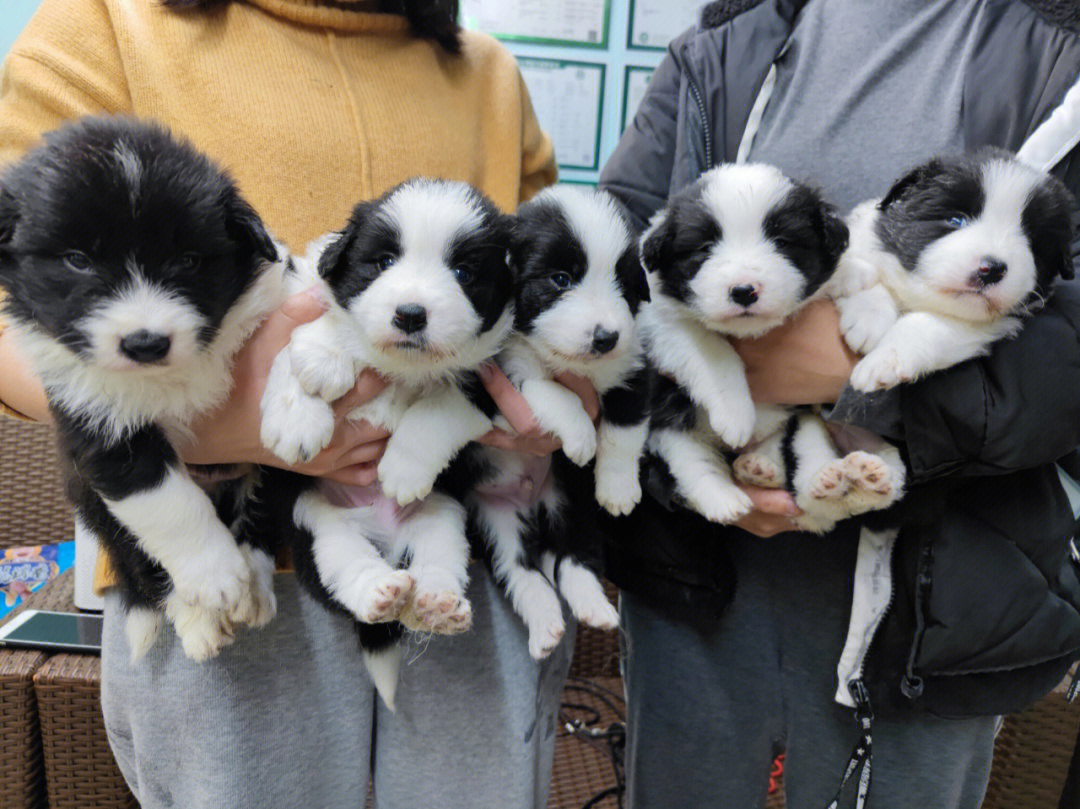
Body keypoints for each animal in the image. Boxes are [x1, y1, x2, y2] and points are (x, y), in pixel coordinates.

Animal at [0, 119, 287, 661]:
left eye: (189, 259)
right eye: (77, 259)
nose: (146, 342)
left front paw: (245, 577)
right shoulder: (99, 428)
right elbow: (168, 503)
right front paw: (215, 577)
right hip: (90, 499)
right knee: (139, 556)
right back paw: (197, 619)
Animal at [260, 178, 514, 708]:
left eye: (463, 271)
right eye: (383, 262)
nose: (411, 315)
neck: (402, 368)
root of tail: (387, 540)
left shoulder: (495, 377)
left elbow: (438, 408)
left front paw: (402, 468)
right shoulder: (302, 297)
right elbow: (315, 332)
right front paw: (312, 382)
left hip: (444, 516)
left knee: (437, 564)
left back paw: (434, 604)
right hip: (315, 525)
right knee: (347, 572)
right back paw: (381, 593)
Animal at [466, 185, 648, 661]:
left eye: (623, 281)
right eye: (561, 279)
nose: (606, 338)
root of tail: (533, 507)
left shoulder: (633, 368)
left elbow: (624, 433)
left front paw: (618, 490)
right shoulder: (498, 376)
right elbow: (551, 391)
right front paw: (582, 436)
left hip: (571, 500)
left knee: (572, 558)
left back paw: (593, 609)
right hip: (491, 520)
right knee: (519, 571)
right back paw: (546, 627)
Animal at [639, 163, 894, 529]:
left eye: (783, 242)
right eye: (703, 248)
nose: (743, 291)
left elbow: (852, 277)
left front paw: (870, 315)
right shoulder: (662, 322)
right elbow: (713, 352)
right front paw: (734, 413)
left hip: (801, 424)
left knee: (809, 490)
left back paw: (835, 480)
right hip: (669, 426)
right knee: (690, 462)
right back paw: (727, 496)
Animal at [833, 151, 1071, 395]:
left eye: (1033, 244)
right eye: (956, 220)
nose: (991, 270)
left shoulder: (988, 323)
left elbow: (928, 325)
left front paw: (884, 359)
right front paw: (868, 316)